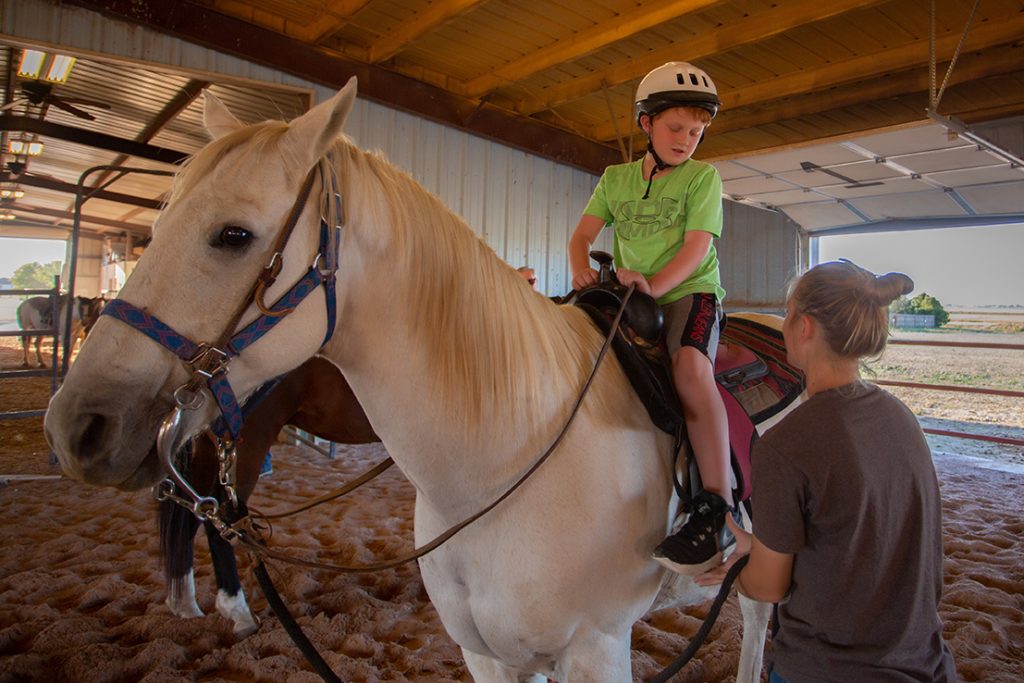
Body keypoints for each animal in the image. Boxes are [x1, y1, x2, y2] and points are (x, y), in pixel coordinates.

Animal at [161, 356, 378, 638]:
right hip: (244, 448)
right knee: (222, 524)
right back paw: (239, 612)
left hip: (207, 454)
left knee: (193, 517)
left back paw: (185, 604)